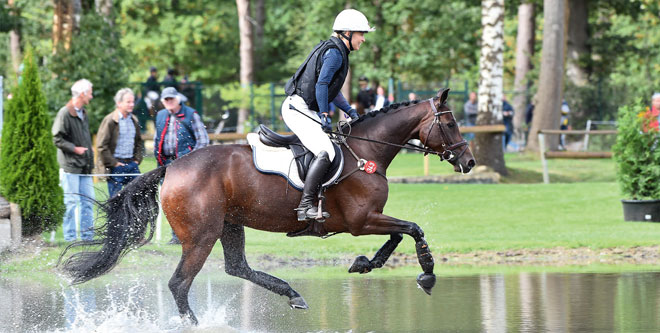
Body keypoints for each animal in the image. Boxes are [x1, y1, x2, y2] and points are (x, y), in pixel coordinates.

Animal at [59, 87, 474, 322]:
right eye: (451, 124)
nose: (468, 162)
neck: (366, 151)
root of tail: (172, 166)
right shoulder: (363, 220)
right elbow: (412, 229)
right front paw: (426, 273)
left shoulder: (368, 220)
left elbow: (399, 235)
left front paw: (364, 264)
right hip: (201, 236)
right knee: (180, 283)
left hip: (229, 225)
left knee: (237, 268)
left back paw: (292, 295)